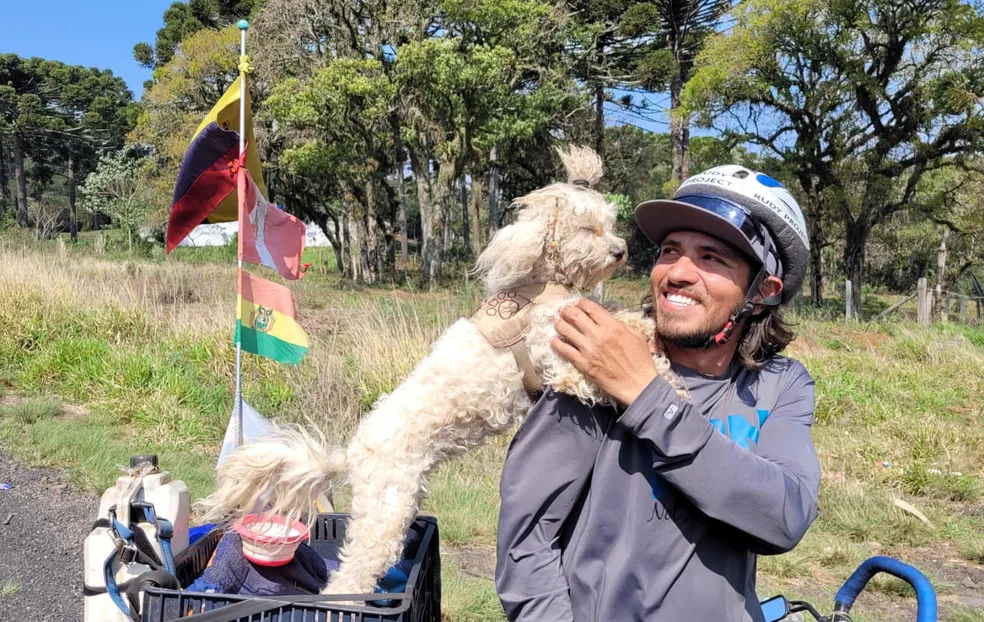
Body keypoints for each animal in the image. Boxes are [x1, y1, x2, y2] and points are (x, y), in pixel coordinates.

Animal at [195, 145, 680, 600]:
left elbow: (614, 315)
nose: (620, 251)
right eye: (586, 229)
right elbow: (592, 374)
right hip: (386, 511)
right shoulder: (559, 358)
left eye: (610, 224)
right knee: (349, 578)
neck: (540, 285)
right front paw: (665, 383)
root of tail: (350, 454)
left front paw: (646, 333)